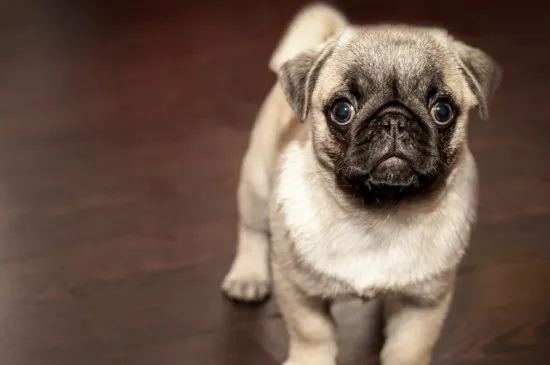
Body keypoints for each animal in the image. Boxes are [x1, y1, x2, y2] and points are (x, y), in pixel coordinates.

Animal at [222, 3, 502, 364]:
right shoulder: (297, 289)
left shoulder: (423, 302)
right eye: (342, 111)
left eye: (442, 111)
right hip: (257, 183)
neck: (375, 213)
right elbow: (312, 333)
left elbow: (409, 347)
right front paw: (310, 360)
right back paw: (247, 276)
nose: (394, 119)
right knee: (252, 230)